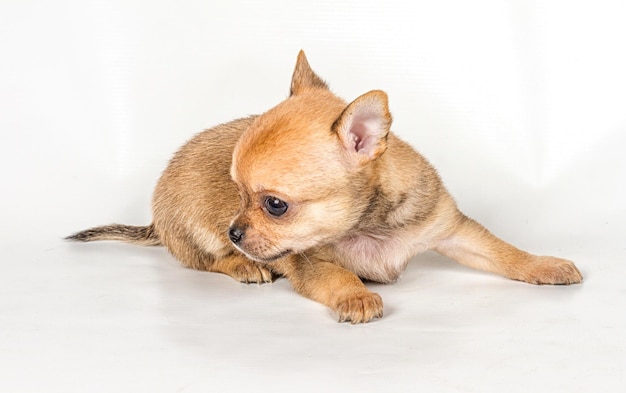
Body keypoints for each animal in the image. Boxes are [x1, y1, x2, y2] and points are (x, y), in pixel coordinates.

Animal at [68, 50, 580, 324]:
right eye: (236, 192)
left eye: (274, 205)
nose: (236, 228)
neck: (370, 225)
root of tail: (155, 220)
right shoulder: (310, 262)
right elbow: (338, 275)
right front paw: (356, 295)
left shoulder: (451, 231)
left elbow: (504, 251)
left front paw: (545, 264)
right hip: (199, 232)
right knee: (207, 261)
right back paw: (243, 265)